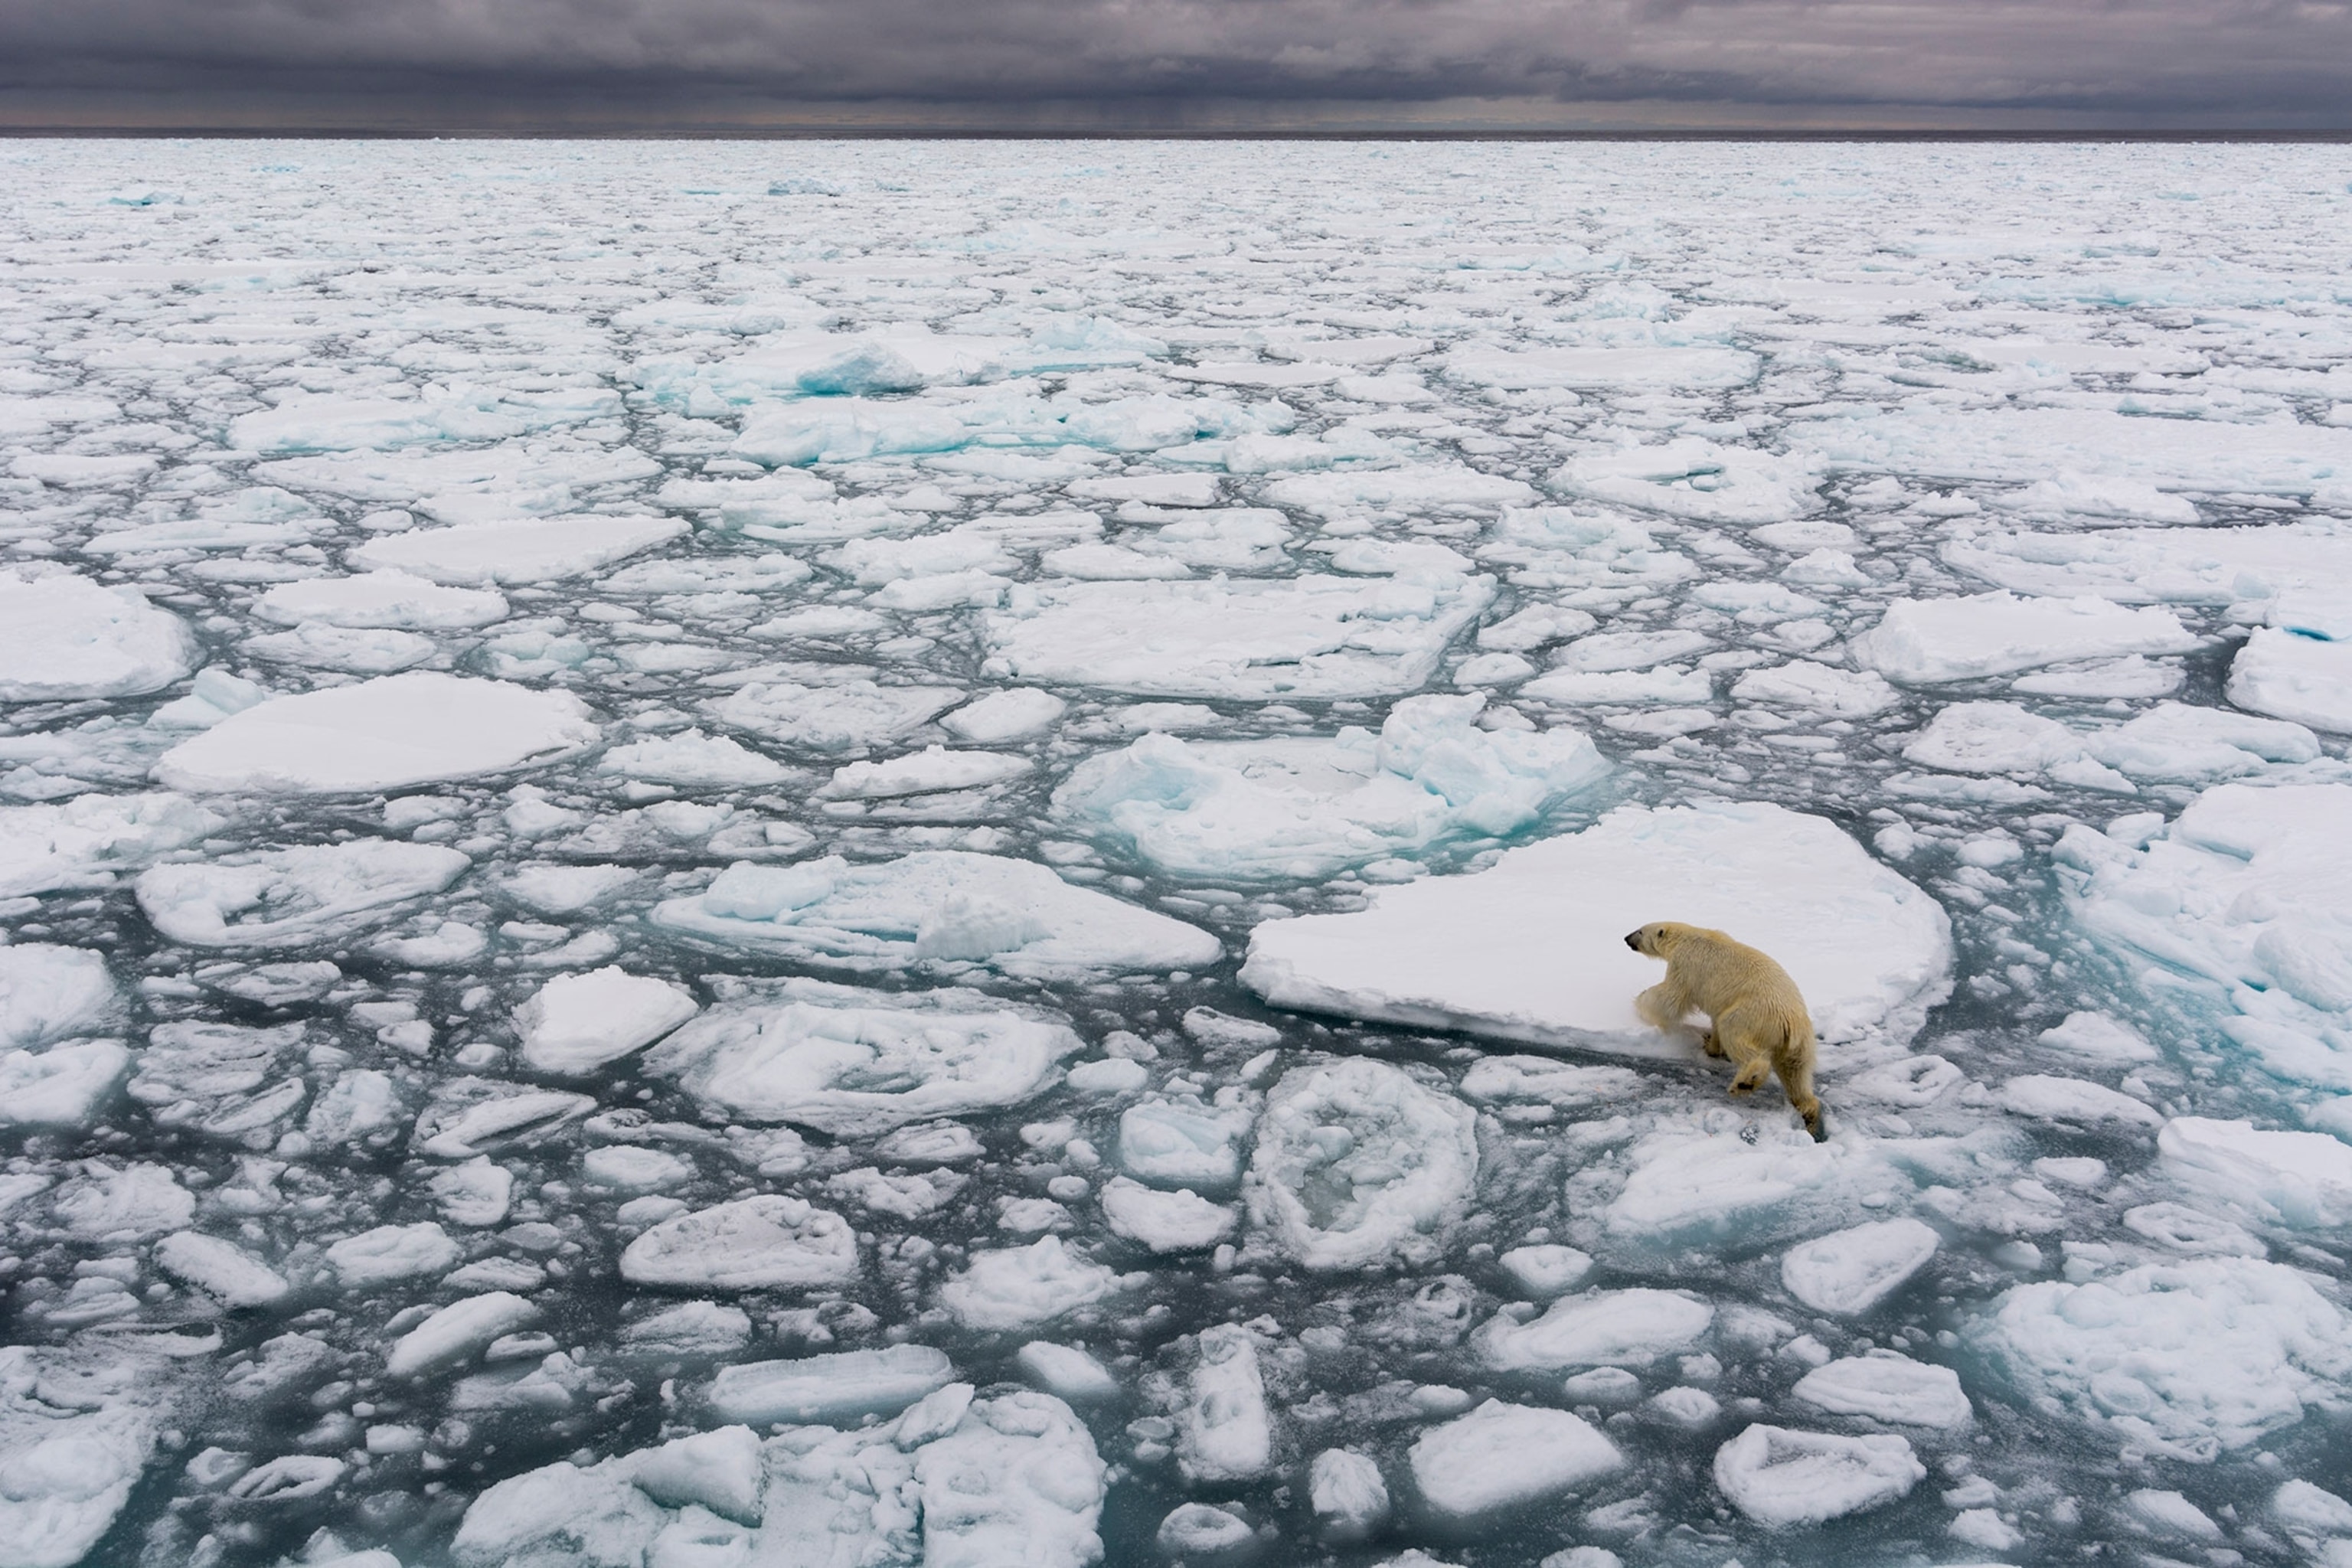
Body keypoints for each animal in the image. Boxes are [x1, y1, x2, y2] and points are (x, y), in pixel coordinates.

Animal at [1624, 921, 1824, 1140]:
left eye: (1640, 931)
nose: (1626, 938)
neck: (1685, 937)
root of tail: (1790, 1022)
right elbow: (1713, 1018)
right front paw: (1709, 1044)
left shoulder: (1685, 965)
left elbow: (1671, 997)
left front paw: (1641, 1001)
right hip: (1801, 1045)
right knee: (1796, 1074)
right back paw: (1809, 1114)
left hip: (1750, 1015)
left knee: (1735, 1035)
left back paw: (1745, 1082)